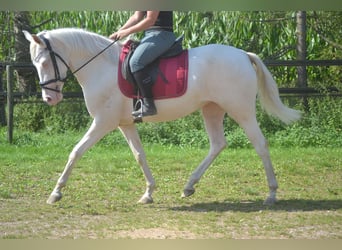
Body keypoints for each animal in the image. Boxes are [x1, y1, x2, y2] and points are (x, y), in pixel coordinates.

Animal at [22, 28, 300, 206]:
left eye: (43, 62)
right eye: (34, 63)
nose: (49, 99)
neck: (102, 67)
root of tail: (243, 54)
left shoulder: (103, 123)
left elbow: (76, 151)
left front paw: (56, 193)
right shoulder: (125, 124)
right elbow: (139, 155)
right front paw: (148, 193)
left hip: (241, 110)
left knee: (260, 144)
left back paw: (271, 194)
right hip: (211, 109)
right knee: (218, 144)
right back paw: (189, 186)